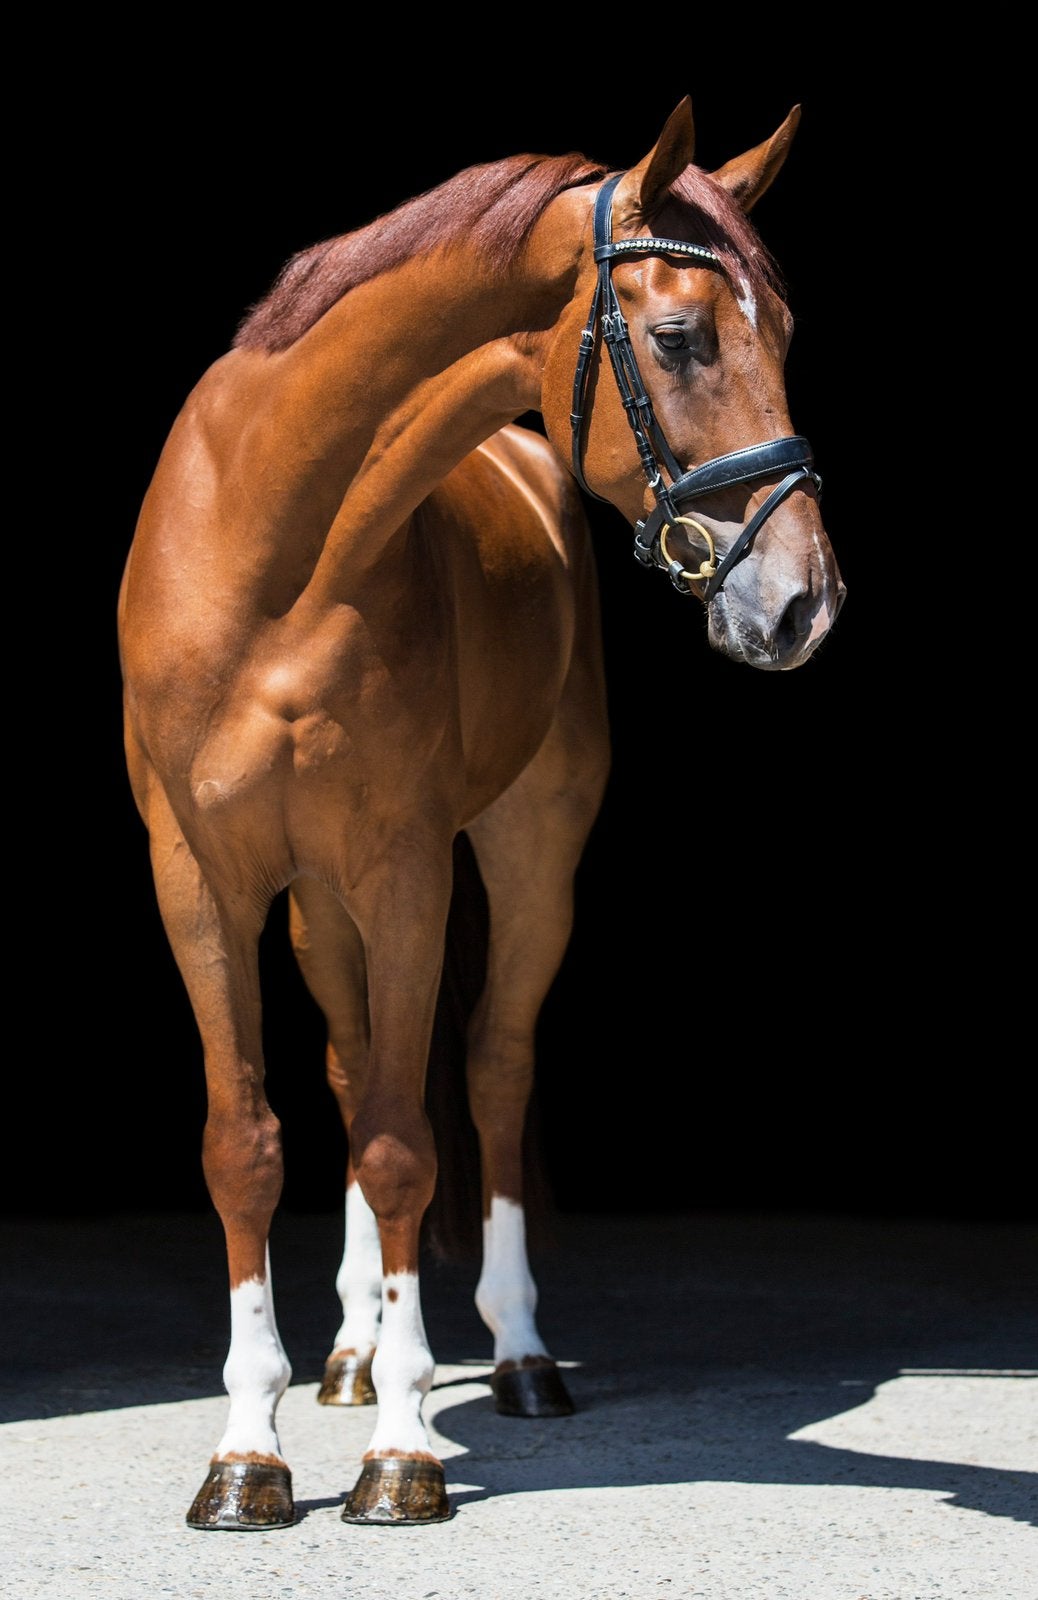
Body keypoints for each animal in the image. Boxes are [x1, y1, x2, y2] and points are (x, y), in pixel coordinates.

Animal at [118, 94, 845, 1531]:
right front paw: (247, 1454)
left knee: (494, 1070)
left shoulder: (405, 868)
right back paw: (348, 1354)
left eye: (783, 335)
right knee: (354, 1070)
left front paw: (402, 1454)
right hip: (319, 904)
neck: (271, 550)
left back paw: (511, 1357)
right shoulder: (205, 880)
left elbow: (408, 1143)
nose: (802, 603)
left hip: (524, 853)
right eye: (680, 336)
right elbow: (250, 1143)